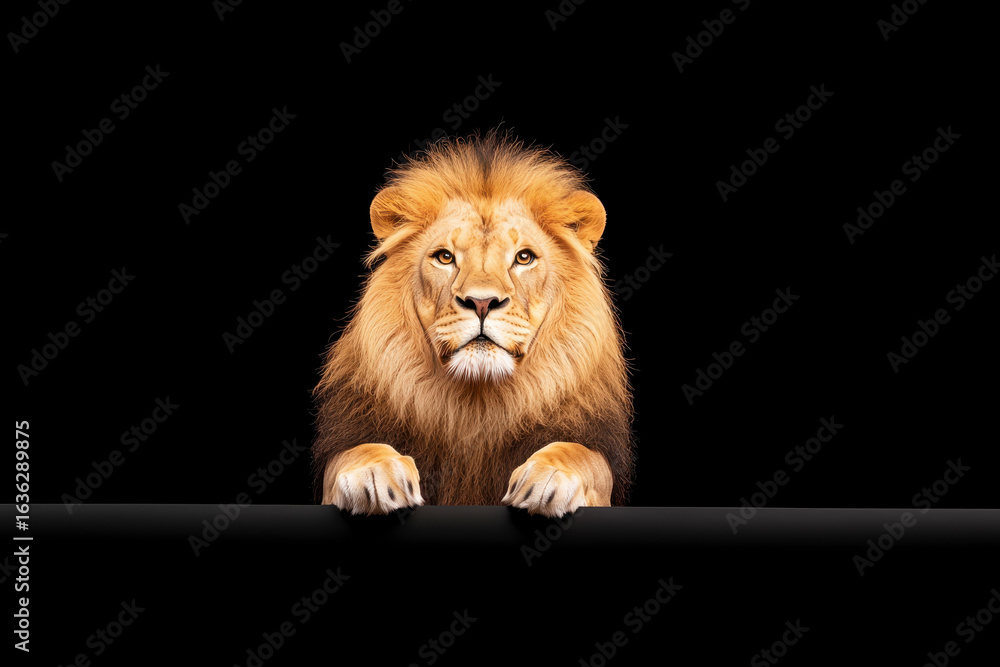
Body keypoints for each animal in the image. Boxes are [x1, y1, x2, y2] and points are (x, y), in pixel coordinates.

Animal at [311, 132, 634, 517]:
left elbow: (579, 454)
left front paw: (550, 477)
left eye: (524, 257)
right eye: (444, 257)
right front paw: (375, 472)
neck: (475, 405)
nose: (482, 302)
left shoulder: (595, 450)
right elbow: (356, 452)